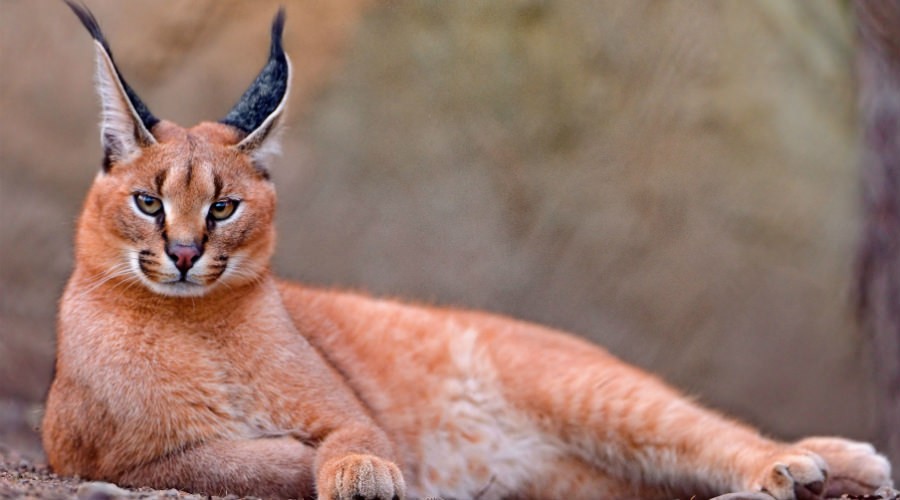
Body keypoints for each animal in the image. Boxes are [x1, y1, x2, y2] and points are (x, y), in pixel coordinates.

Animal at [45, 3, 896, 500]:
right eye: (149, 202)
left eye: (223, 207)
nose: (186, 254)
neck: (196, 321)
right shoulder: (103, 458)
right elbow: (231, 457)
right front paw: (335, 469)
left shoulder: (345, 409)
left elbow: (355, 436)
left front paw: (365, 471)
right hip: (584, 478)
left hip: (590, 392)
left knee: (709, 431)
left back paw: (810, 461)